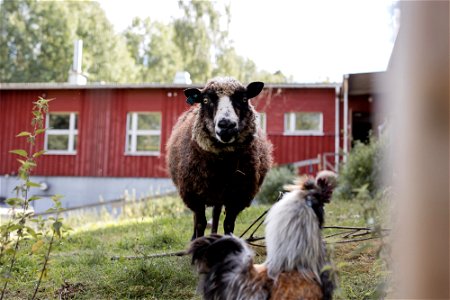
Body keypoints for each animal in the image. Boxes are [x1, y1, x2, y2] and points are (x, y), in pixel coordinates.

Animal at [167, 77, 272, 239]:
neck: (222, 167)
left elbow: (228, 224)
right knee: (197, 219)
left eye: (244, 99)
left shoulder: (237, 197)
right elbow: (200, 223)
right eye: (205, 100)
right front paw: (197, 242)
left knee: (216, 214)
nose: (226, 125)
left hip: (219, 195)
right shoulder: (195, 195)